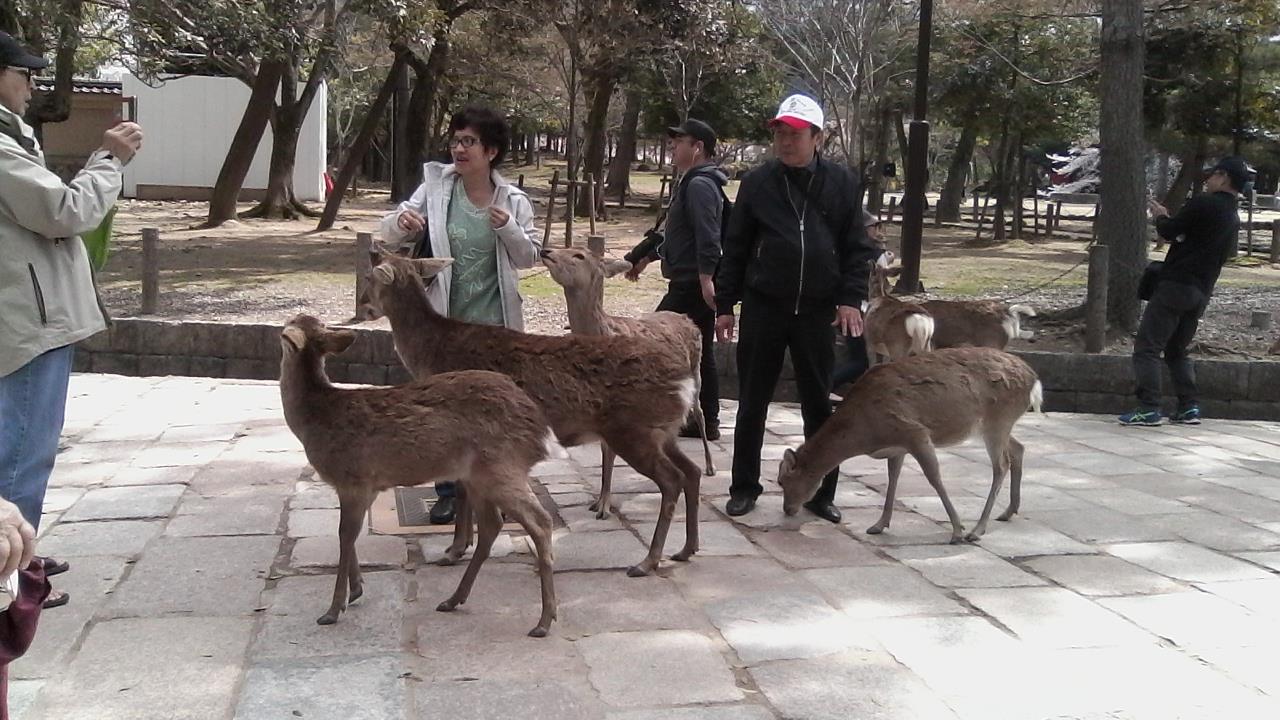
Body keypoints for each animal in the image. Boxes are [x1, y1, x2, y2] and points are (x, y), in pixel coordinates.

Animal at [277, 313, 558, 632]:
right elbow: (348, 535)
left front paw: (334, 608)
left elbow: (344, 535)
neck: (315, 419)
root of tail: (540, 429)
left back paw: (544, 621)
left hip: (502, 468)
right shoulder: (358, 487)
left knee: (541, 522)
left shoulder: (355, 479)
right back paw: (452, 599)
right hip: (479, 476)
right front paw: (356, 589)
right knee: (492, 525)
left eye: (285, 332)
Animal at [537, 244, 716, 515]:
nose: (546, 251)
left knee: (700, 413)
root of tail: (688, 319)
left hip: (696, 372)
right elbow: (604, 449)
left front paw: (604, 507)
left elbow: (609, 449)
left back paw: (710, 466)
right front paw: (598, 501)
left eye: (579, 255)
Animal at [773, 345, 1044, 540]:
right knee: (1018, 448)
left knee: (1001, 465)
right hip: (995, 425)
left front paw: (957, 530)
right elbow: (893, 478)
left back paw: (977, 530)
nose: (787, 509)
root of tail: (1034, 381)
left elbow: (934, 478)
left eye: (782, 480)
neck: (865, 432)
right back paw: (1008, 511)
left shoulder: (914, 432)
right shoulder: (897, 446)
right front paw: (878, 525)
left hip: (998, 420)